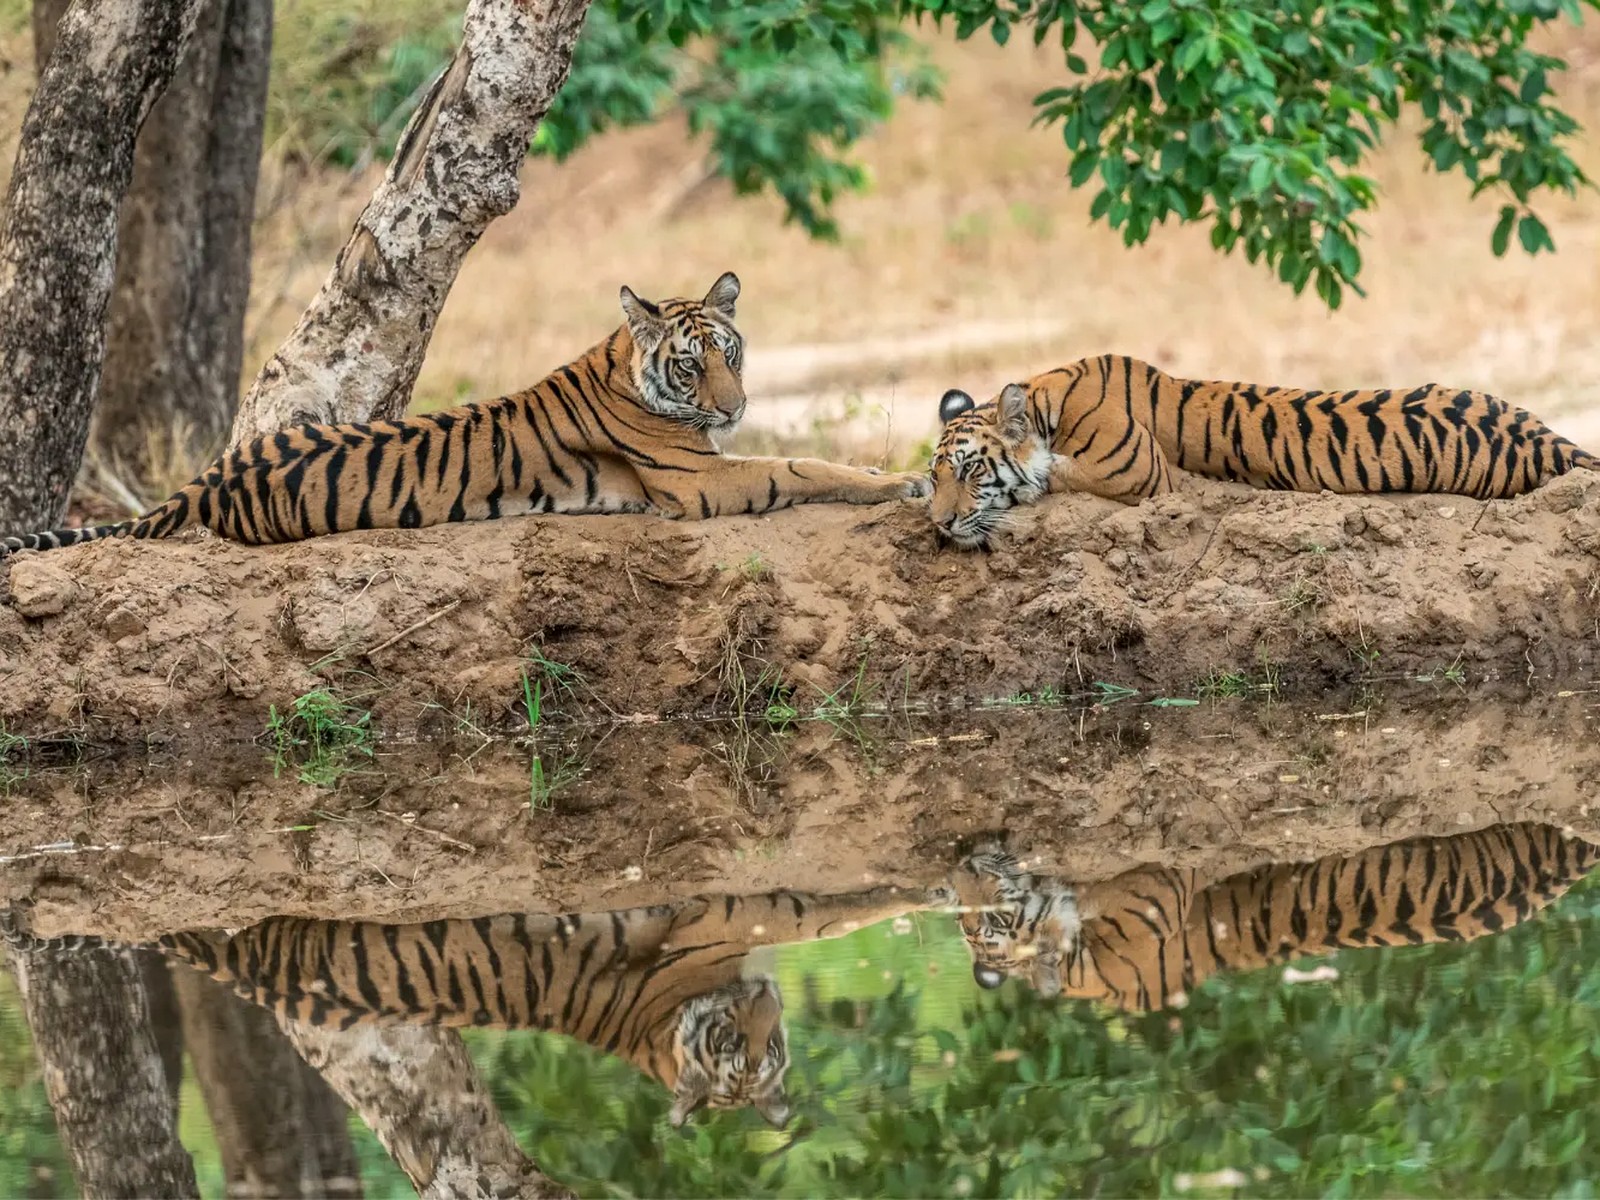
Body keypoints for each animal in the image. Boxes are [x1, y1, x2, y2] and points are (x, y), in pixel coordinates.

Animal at [0, 272, 929, 558]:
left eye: (730, 354)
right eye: (691, 364)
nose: (735, 408)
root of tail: (207, 479)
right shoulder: (699, 482)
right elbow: (802, 464)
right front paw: (904, 482)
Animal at [929, 353, 1598, 548]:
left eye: (971, 471)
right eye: (937, 477)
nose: (939, 525)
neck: (1050, 399)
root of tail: (1551, 438)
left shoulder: (1137, 472)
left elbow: (1053, 475)